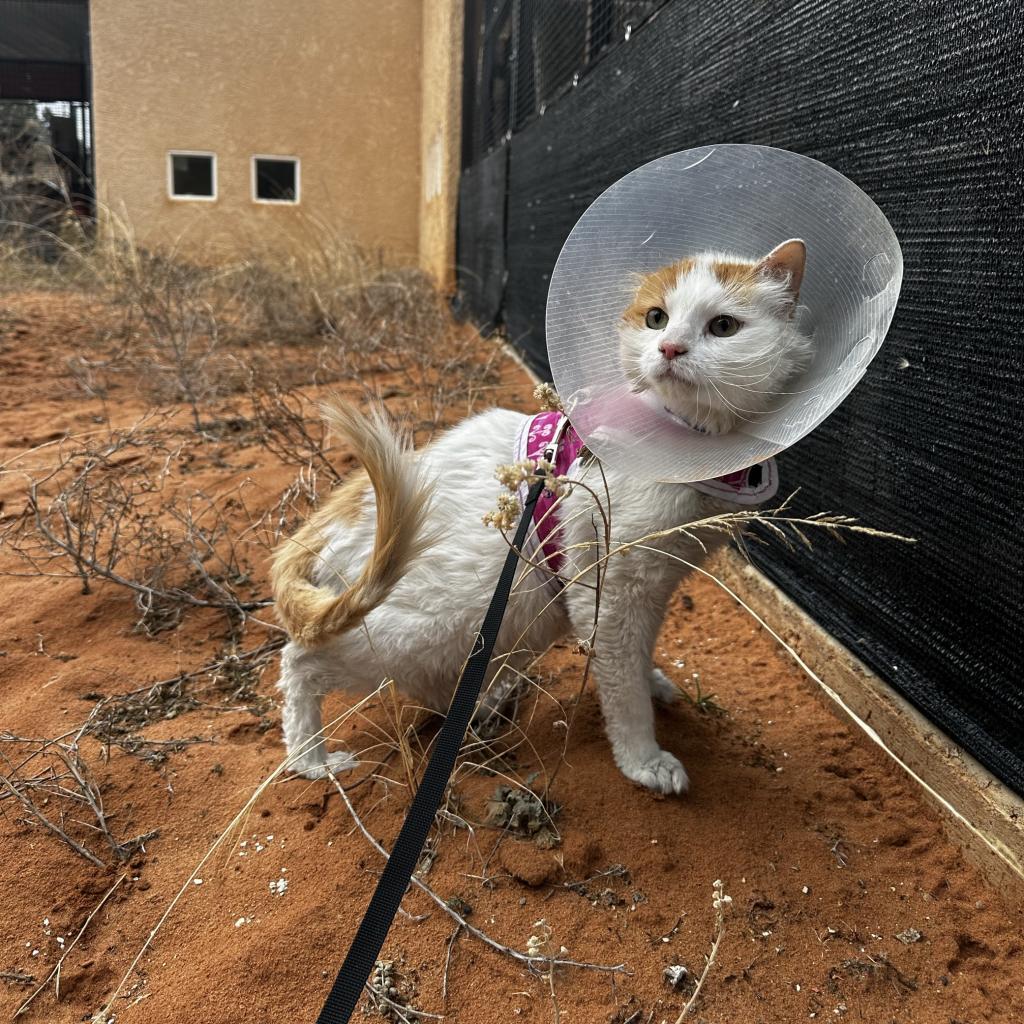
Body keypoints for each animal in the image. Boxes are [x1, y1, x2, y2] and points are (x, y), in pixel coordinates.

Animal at [270, 237, 806, 790]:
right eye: (657, 318)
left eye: (723, 327)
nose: (670, 349)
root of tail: (339, 510)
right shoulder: (612, 590)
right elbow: (623, 686)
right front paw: (643, 759)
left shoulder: (654, 586)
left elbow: (642, 657)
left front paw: (654, 681)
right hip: (433, 626)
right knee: (300, 661)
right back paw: (312, 758)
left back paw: (481, 707)